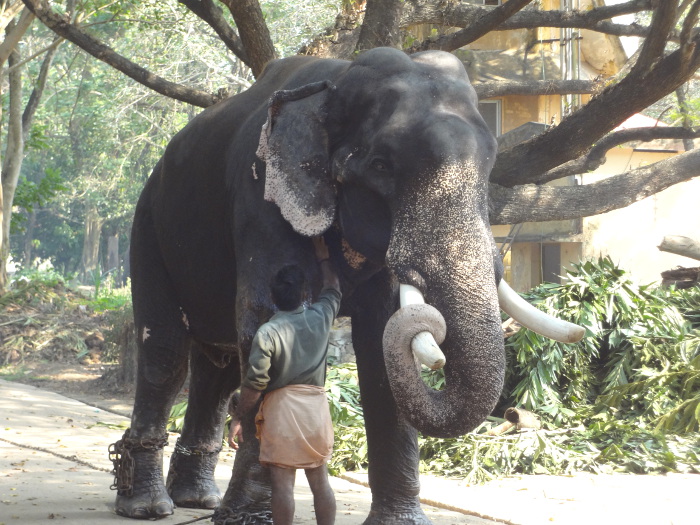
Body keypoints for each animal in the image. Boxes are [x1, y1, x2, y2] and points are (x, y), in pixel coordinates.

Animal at [113, 47, 584, 520]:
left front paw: (399, 522)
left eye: (489, 167)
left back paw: (197, 499)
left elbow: (380, 340)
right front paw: (248, 517)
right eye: (380, 165)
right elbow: (263, 320)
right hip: (147, 226)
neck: (335, 82)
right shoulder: (261, 195)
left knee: (220, 363)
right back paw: (148, 505)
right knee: (166, 351)